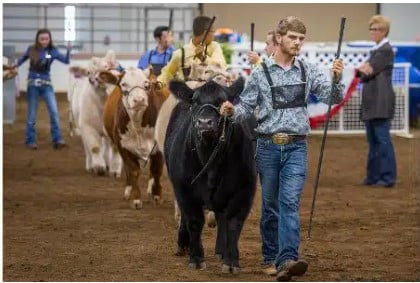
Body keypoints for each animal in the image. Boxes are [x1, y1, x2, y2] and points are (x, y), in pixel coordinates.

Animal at [101, 66, 167, 209]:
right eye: (123, 84)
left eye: (146, 84)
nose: (139, 100)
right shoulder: (123, 147)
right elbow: (133, 171)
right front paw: (135, 199)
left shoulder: (159, 148)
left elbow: (156, 170)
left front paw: (157, 195)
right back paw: (128, 190)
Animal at [164, 79, 256, 274]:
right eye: (195, 101)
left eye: (222, 102)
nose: (205, 123)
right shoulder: (184, 189)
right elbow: (194, 221)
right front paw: (196, 258)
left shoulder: (243, 190)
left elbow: (233, 223)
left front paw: (231, 261)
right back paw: (183, 244)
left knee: (222, 217)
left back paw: (221, 250)